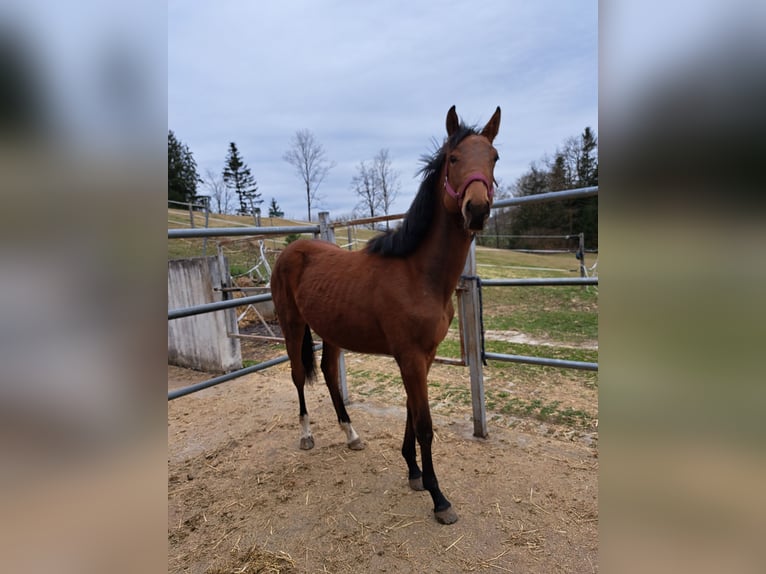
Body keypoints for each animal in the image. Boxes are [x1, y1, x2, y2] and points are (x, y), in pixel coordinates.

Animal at [270, 105, 500, 524]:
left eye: (494, 158)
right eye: (453, 158)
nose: (476, 209)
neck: (417, 273)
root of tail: (290, 251)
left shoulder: (424, 356)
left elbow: (411, 412)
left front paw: (413, 471)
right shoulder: (409, 356)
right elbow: (424, 424)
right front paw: (439, 498)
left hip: (331, 331)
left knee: (329, 373)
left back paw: (351, 435)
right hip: (292, 325)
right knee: (297, 375)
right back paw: (307, 435)